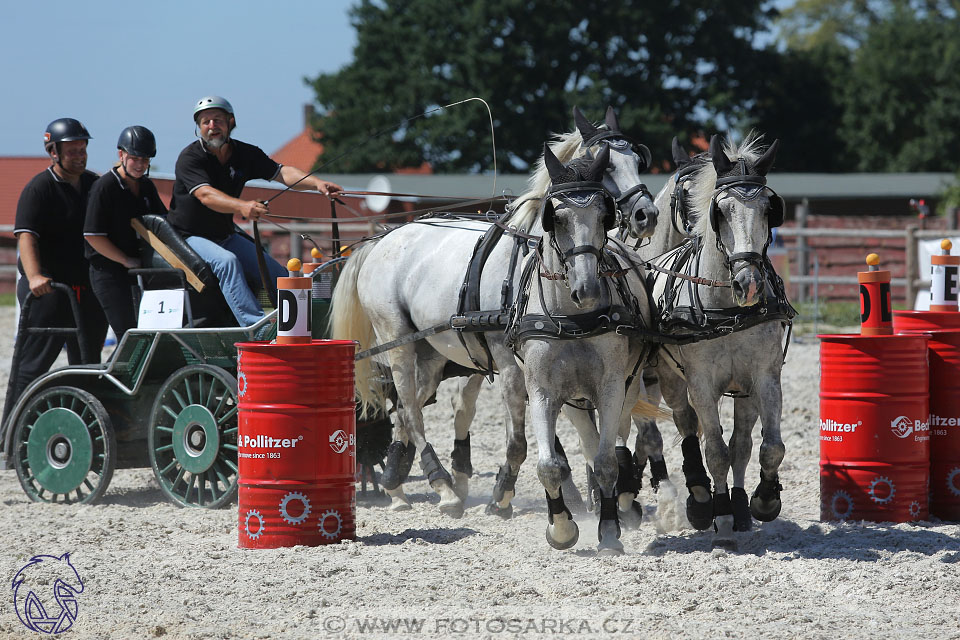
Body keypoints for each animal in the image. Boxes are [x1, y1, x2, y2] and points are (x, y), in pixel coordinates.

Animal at [332, 107, 660, 516]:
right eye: (609, 165)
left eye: (637, 160)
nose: (647, 215)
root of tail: (381, 239)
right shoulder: (513, 365)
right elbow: (522, 439)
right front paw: (503, 495)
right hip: (397, 342)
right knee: (409, 408)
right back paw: (441, 486)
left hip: (431, 352)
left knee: (413, 408)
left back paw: (397, 483)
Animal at [648, 134, 792, 552]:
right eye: (722, 212)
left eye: (768, 211)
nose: (750, 284)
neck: (726, 308)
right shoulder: (701, 383)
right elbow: (714, 450)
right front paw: (721, 516)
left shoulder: (764, 377)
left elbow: (769, 447)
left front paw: (763, 501)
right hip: (672, 380)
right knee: (687, 427)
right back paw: (701, 501)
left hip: (743, 391)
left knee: (742, 443)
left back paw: (742, 507)